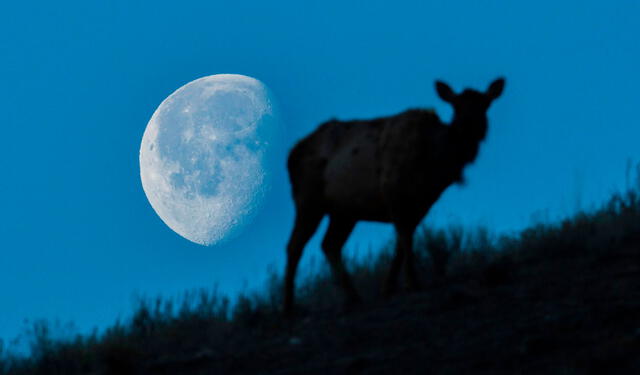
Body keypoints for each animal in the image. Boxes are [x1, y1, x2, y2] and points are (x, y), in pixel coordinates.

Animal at [282, 78, 502, 316]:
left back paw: (353, 297)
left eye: (486, 104)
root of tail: (291, 155)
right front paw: (412, 283)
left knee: (329, 244)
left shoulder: (421, 204)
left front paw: (388, 287)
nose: (473, 127)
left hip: (344, 212)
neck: (435, 165)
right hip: (308, 201)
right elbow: (405, 238)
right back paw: (288, 308)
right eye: (456, 106)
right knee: (294, 245)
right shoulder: (393, 191)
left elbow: (401, 242)